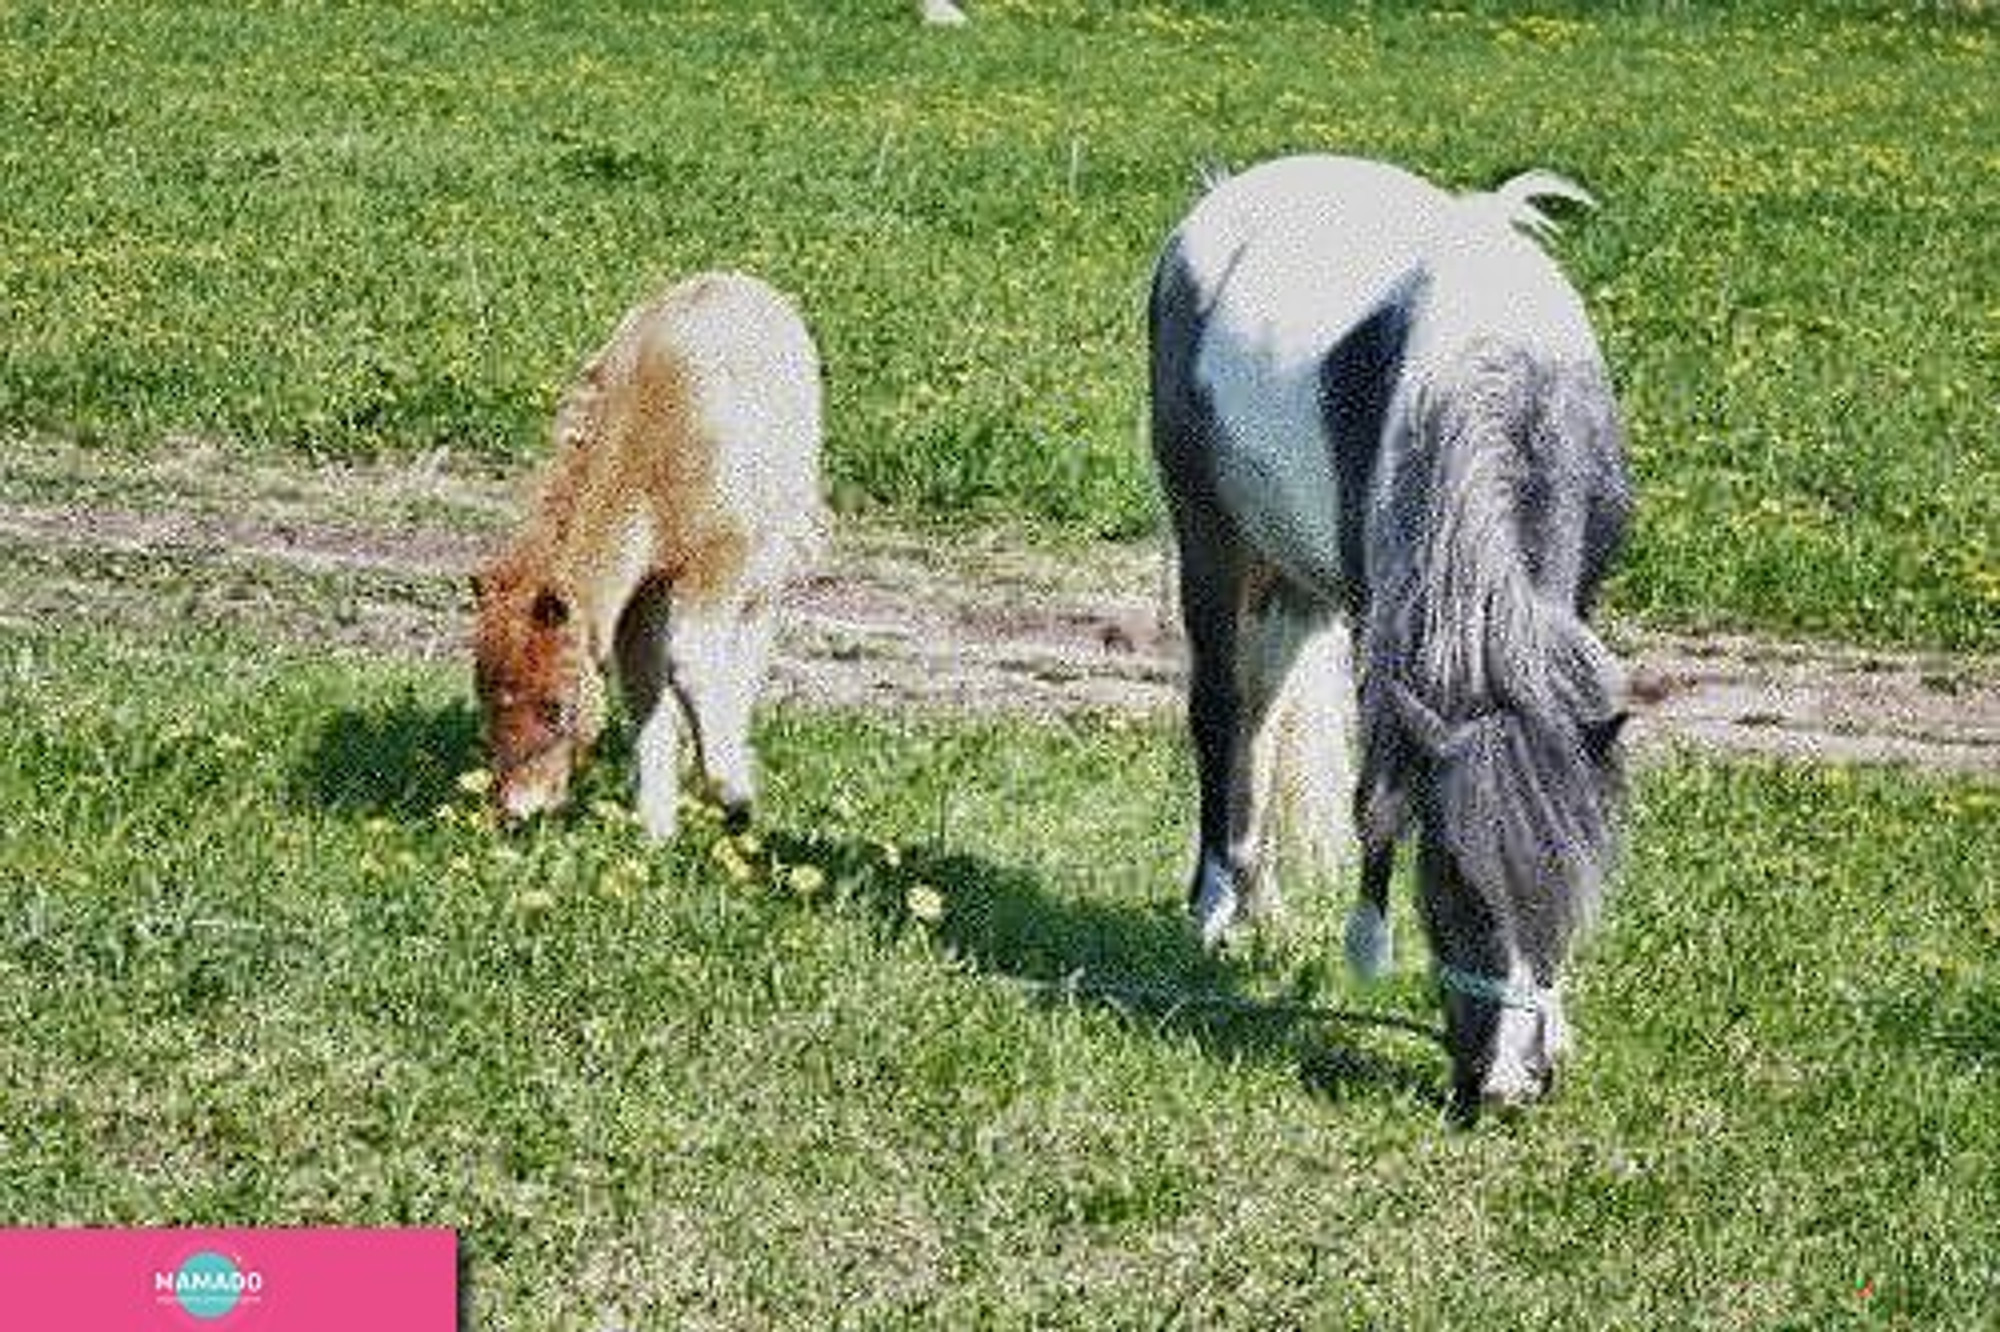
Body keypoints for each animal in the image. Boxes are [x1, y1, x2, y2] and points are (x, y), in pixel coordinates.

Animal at [472, 268, 824, 840]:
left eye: (555, 706)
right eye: (483, 694)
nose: (518, 809)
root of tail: (744, 281)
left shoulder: (714, 564)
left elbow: (691, 661)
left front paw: (734, 794)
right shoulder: (639, 599)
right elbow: (645, 687)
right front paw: (656, 828)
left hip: (767, 558)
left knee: (749, 641)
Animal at [1152, 156, 1632, 1104]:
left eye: (1570, 888)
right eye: (1450, 886)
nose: (1506, 1085)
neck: (1499, 375)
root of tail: (1225, 194)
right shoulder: (1382, 608)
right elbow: (1378, 789)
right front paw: (1366, 945)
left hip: (1289, 572)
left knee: (1262, 718)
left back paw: (1259, 899)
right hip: (1211, 533)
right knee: (1221, 714)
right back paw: (1217, 905)